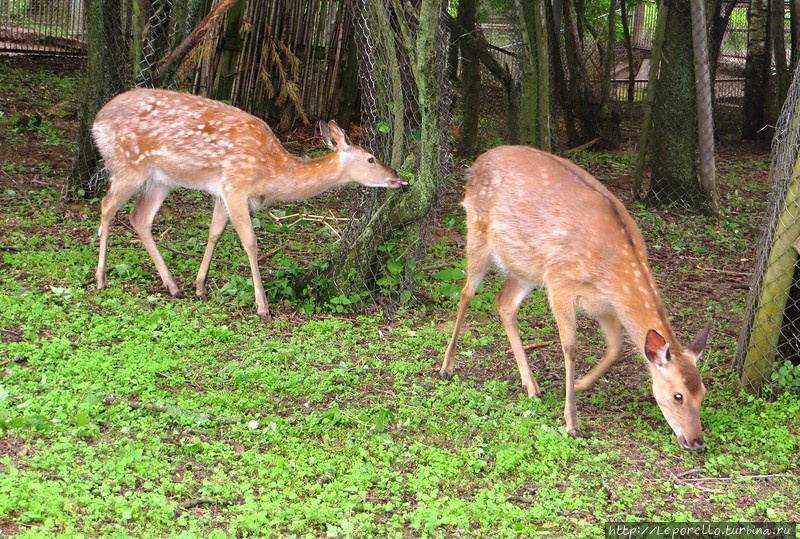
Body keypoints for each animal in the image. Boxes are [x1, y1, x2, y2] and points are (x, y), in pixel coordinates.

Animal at [92, 86, 406, 318]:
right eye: (371, 158)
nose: (397, 177)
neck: (271, 172)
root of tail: (96, 122)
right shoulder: (237, 186)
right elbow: (250, 242)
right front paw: (262, 306)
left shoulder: (224, 191)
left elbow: (214, 233)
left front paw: (200, 287)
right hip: (127, 165)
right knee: (106, 207)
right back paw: (101, 279)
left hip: (160, 179)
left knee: (139, 217)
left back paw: (173, 286)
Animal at [440, 146, 708, 450]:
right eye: (678, 395)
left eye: (703, 393)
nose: (697, 441)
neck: (614, 270)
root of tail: (476, 163)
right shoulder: (561, 282)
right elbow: (570, 347)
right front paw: (572, 422)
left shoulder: (606, 306)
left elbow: (615, 350)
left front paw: (578, 384)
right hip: (477, 232)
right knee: (465, 293)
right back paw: (446, 367)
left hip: (528, 267)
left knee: (504, 301)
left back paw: (531, 385)